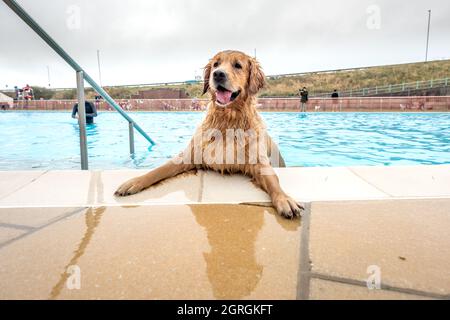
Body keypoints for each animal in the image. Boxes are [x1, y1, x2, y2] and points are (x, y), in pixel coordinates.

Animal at [116, 50, 304, 219]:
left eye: (238, 65)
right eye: (216, 64)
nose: (218, 74)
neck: (228, 120)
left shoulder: (258, 161)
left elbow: (273, 180)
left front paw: (284, 199)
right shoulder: (190, 155)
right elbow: (158, 170)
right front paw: (134, 182)